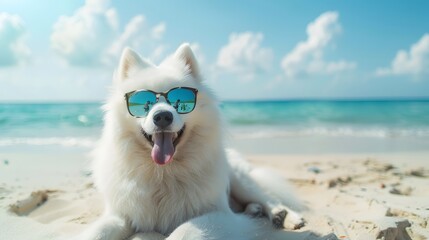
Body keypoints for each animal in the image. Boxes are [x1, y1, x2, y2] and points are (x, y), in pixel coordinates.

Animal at [79, 44, 300, 239]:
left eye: (179, 99)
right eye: (142, 102)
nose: (162, 117)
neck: (163, 174)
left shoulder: (220, 215)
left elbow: (184, 231)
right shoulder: (122, 214)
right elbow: (98, 232)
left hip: (240, 180)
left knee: (267, 196)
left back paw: (285, 215)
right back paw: (255, 210)